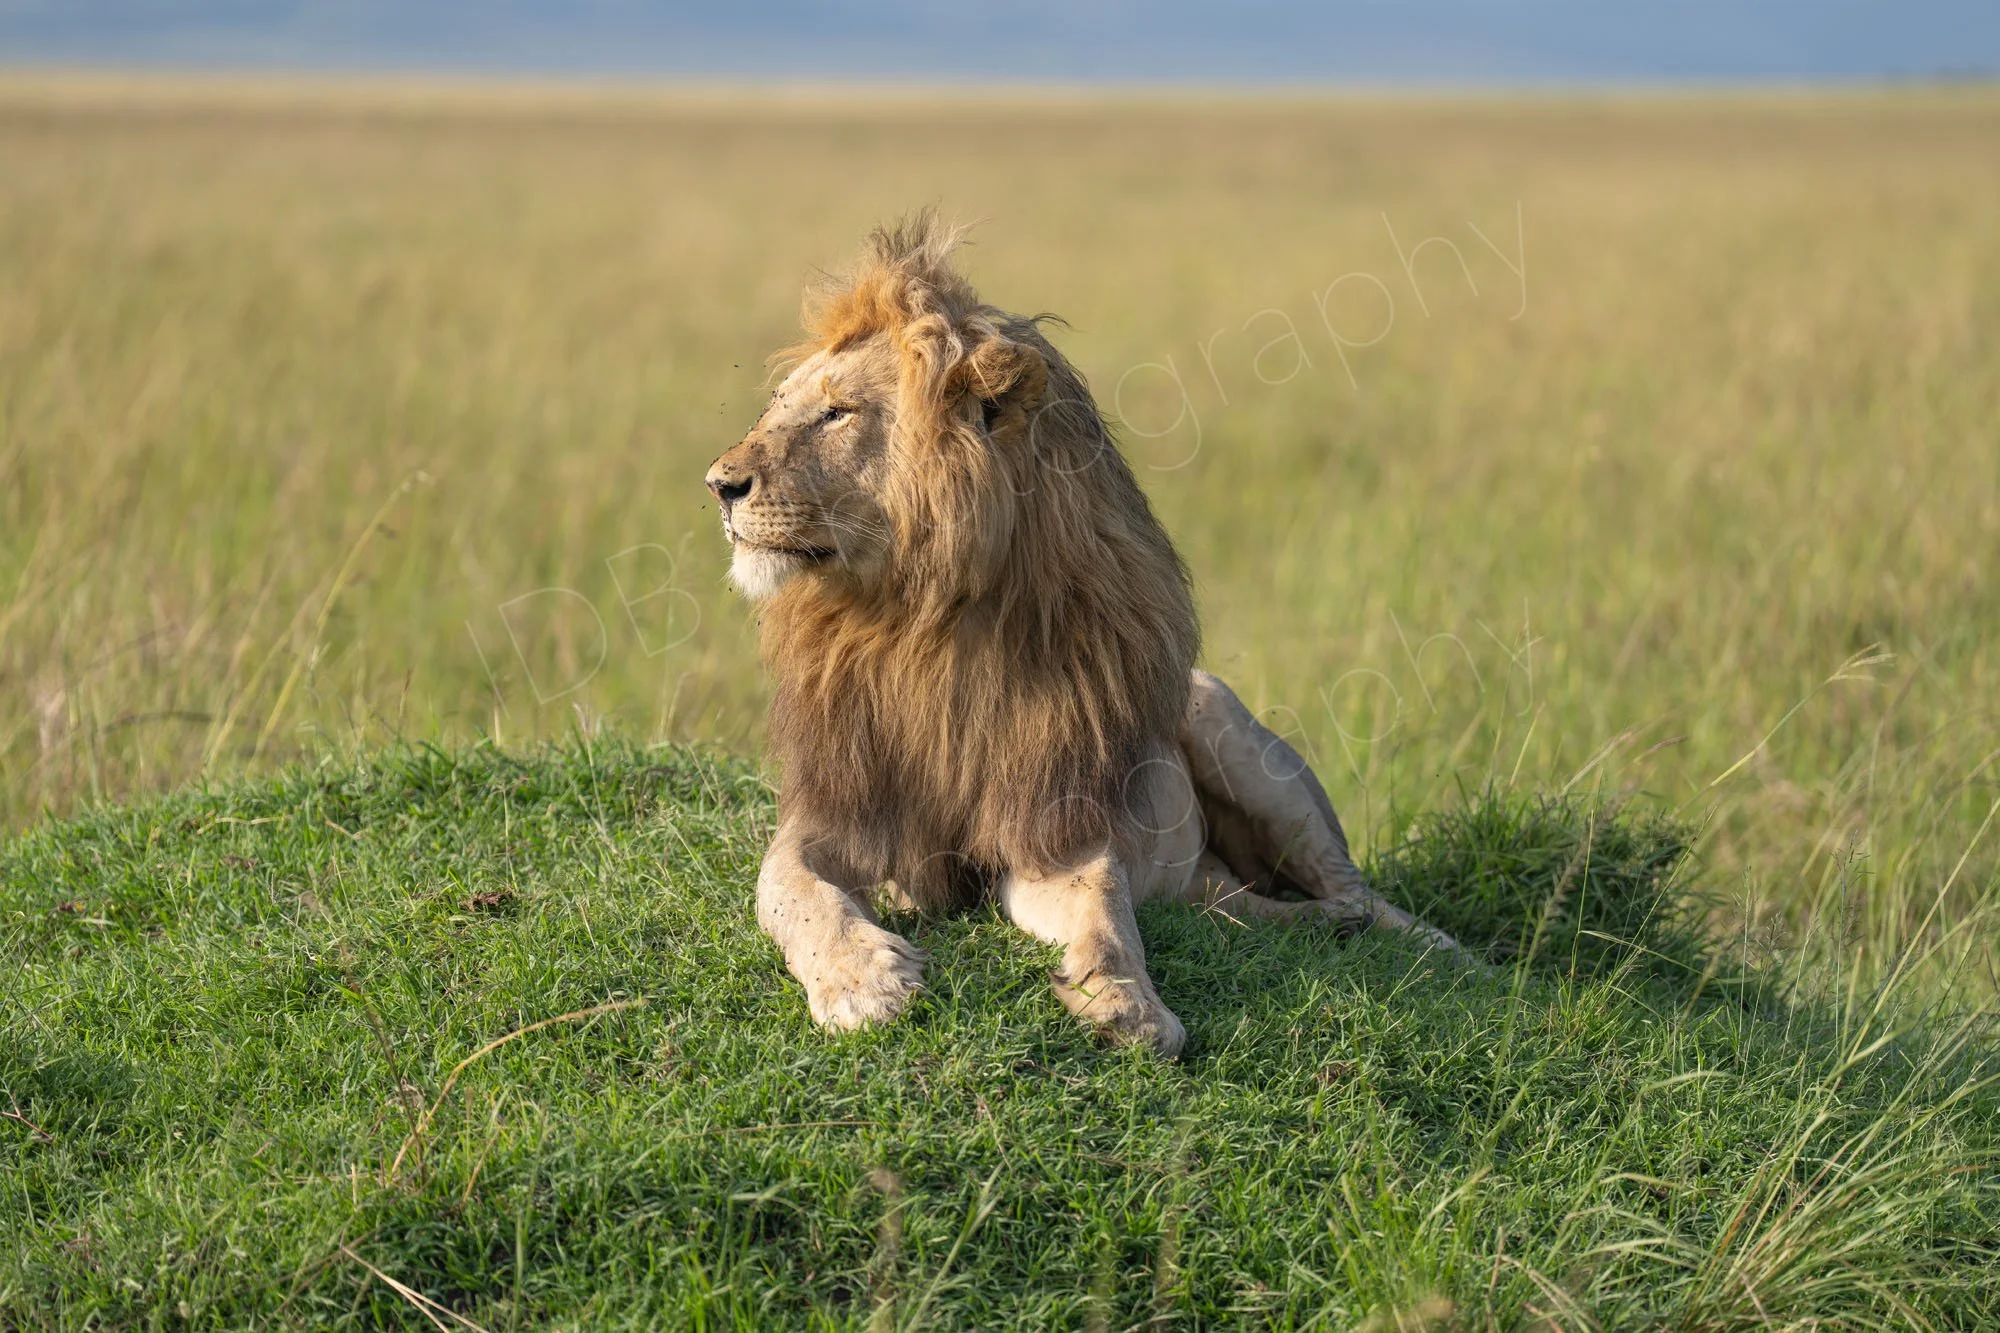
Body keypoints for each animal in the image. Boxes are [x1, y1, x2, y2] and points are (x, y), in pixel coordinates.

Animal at [705, 214, 1459, 1056]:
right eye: (777, 406)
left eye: (837, 413)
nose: (719, 484)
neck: (917, 620)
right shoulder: (838, 812)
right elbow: (793, 893)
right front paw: (864, 981)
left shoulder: (1052, 823)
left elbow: (1103, 905)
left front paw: (1128, 1002)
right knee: (1239, 905)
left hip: (1228, 724)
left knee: (1355, 886)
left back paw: (1413, 941)